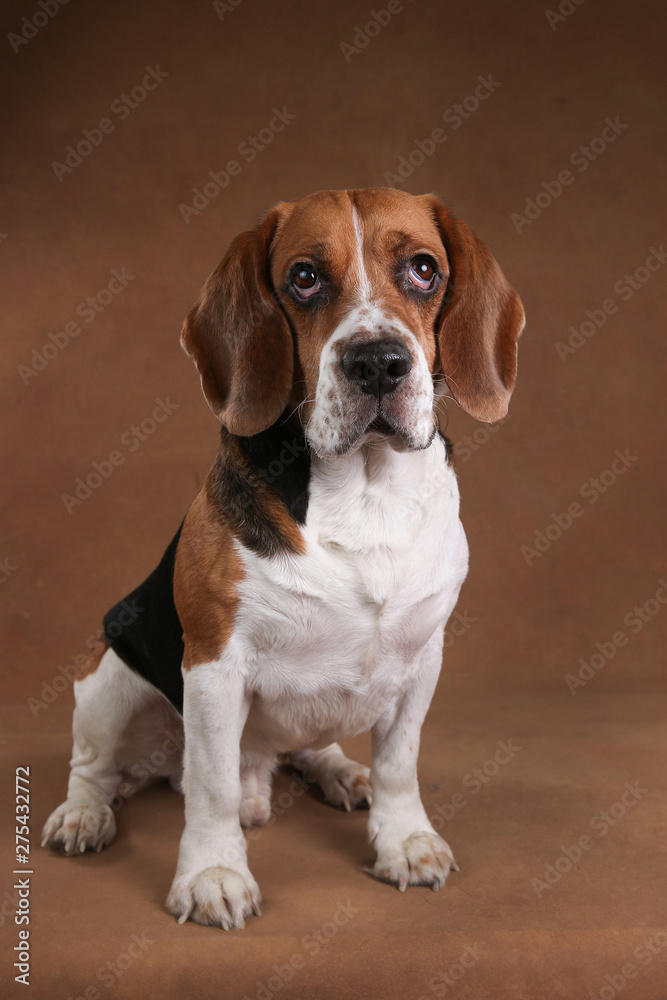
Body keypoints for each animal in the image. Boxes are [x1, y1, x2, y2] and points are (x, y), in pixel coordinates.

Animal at [41, 188, 524, 928]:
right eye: (303, 277)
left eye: (423, 268)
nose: (378, 362)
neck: (366, 488)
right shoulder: (214, 664)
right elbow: (209, 786)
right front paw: (212, 873)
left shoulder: (423, 657)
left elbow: (400, 763)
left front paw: (404, 840)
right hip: (110, 676)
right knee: (98, 767)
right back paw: (84, 815)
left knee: (311, 747)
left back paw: (338, 772)